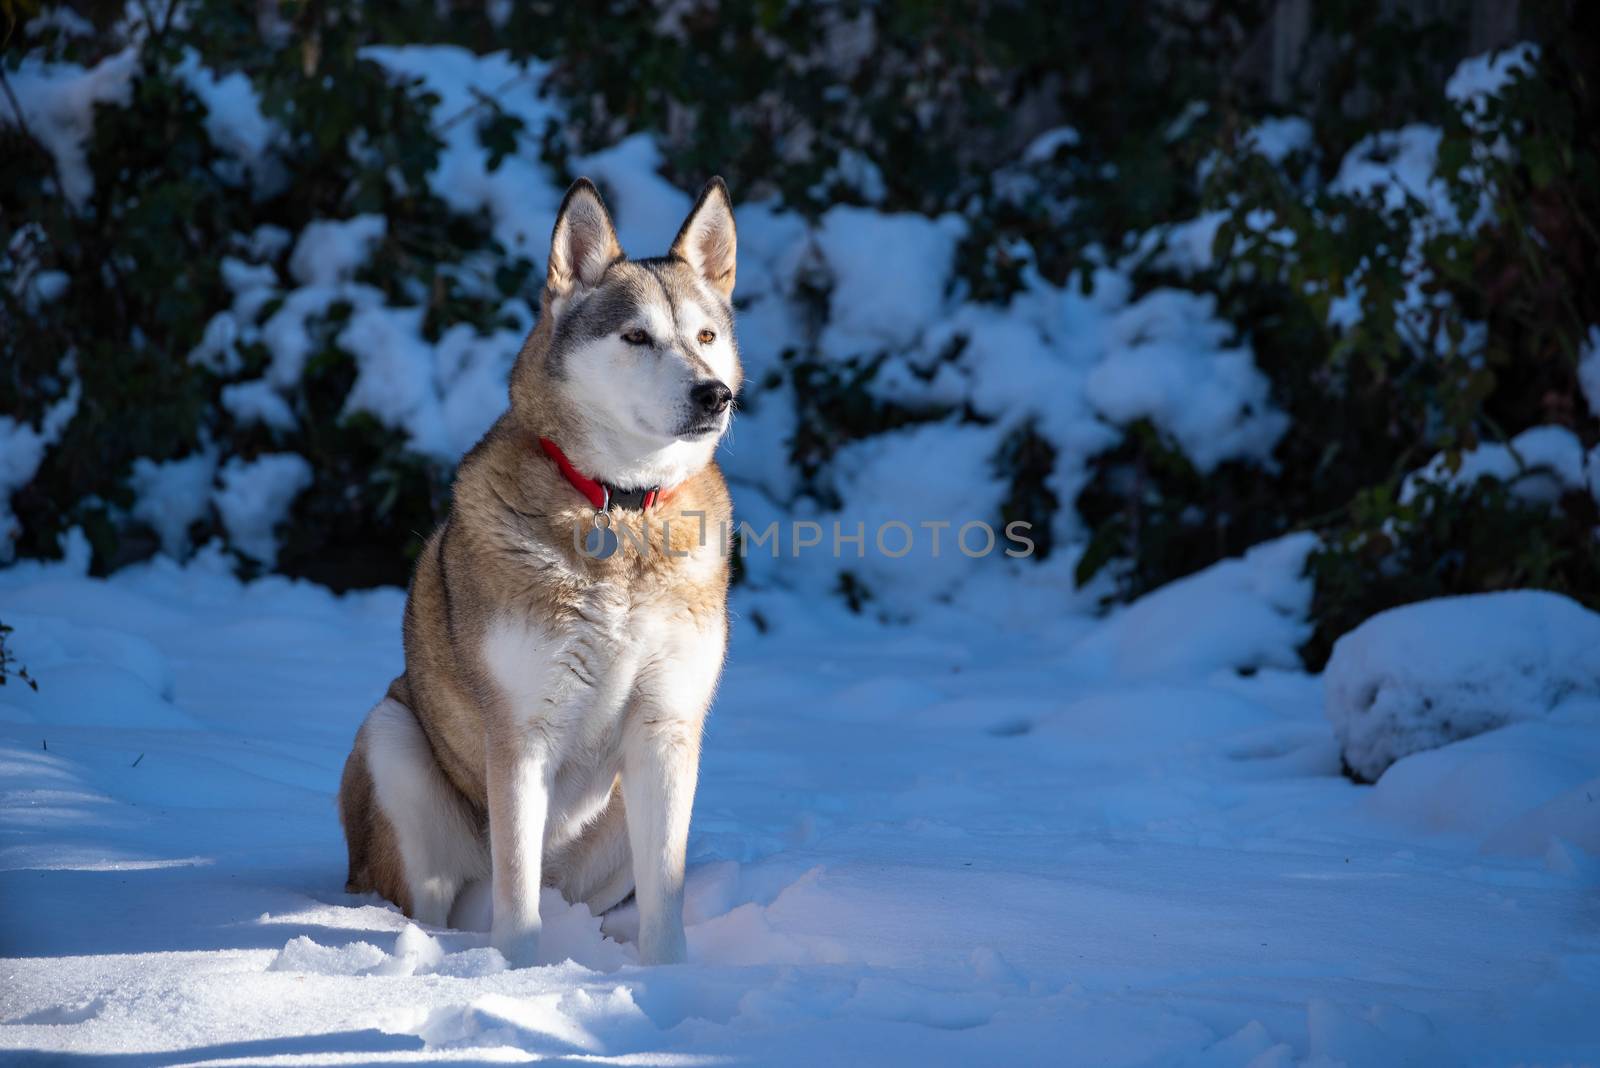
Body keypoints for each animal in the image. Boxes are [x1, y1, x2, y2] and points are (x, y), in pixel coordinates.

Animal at [340, 177, 739, 965]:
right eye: (636, 337)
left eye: (705, 337)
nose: (715, 394)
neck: (620, 508)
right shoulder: (521, 732)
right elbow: (515, 886)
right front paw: (520, 974)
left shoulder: (668, 727)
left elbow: (667, 889)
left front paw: (669, 975)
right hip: (391, 743)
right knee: (438, 898)